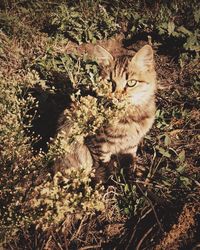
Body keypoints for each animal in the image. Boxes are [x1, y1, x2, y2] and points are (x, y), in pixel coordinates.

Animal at [54, 44, 156, 183]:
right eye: (110, 82)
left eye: (131, 82)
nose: (117, 97)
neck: (131, 116)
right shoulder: (98, 145)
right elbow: (104, 166)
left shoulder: (131, 146)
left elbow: (130, 162)